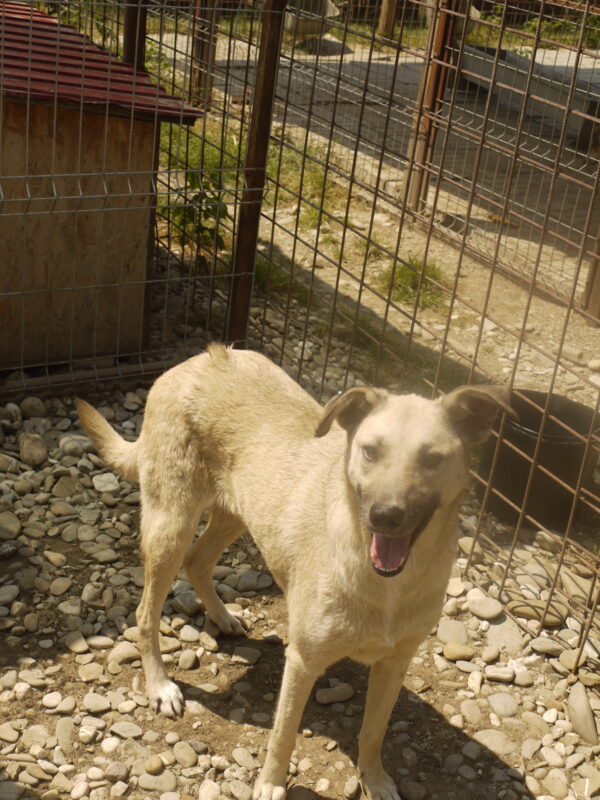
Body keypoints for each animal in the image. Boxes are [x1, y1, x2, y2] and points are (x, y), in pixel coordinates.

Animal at [75, 344, 516, 800]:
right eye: (370, 452)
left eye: (432, 459)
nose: (385, 516)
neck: (385, 582)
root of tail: (201, 357)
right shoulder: (303, 661)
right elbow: (283, 734)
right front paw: (270, 784)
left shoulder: (395, 663)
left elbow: (373, 732)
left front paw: (374, 780)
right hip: (171, 522)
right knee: (146, 611)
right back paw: (160, 685)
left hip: (240, 511)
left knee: (198, 560)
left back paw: (222, 616)